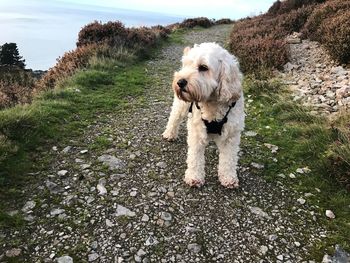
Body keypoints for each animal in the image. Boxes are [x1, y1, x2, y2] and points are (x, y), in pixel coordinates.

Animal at [163, 42, 245, 189]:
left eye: (203, 67)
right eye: (187, 65)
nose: (180, 82)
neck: (212, 104)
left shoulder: (231, 135)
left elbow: (229, 159)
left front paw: (228, 178)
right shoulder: (197, 132)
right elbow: (195, 157)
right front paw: (194, 177)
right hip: (180, 106)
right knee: (174, 118)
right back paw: (170, 134)